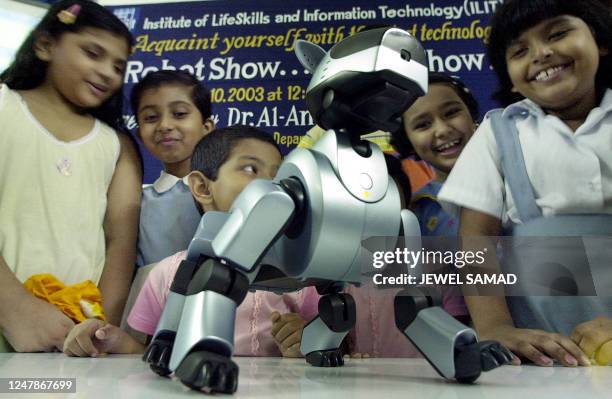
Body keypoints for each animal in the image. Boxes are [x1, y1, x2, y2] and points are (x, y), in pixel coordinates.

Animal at [143, 27, 512, 394]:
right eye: (350, 46)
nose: (408, 48)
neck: (357, 151)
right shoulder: (283, 195)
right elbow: (223, 273)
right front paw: (206, 359)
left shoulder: (403, 222)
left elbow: (413, 296)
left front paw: (469, 353)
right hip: (227, 240)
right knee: (198, 268)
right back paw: (163, 347)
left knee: (338, 306)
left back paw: (320, 351)